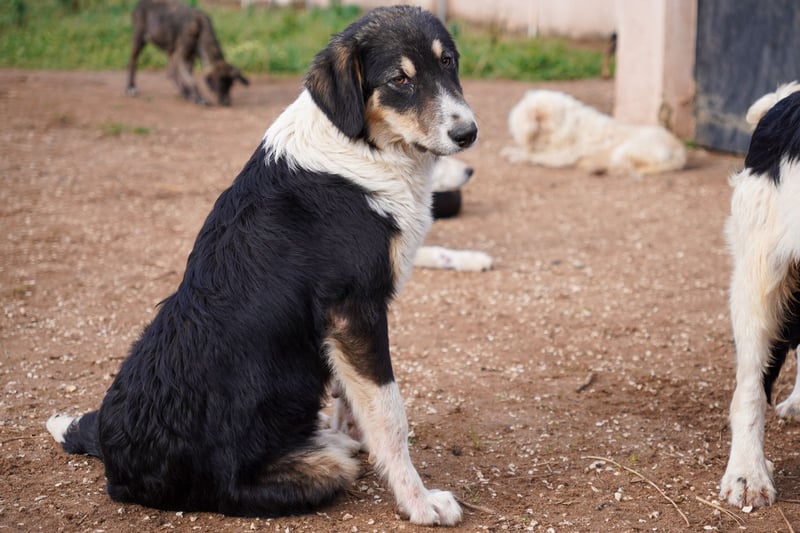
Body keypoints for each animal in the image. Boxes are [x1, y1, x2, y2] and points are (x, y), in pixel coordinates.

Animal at [47, 6, 476, 525]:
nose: (468, 134)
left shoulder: (342, 327)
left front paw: (358, 438)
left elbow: (351, 399)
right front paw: (419, 501)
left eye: (448, 62)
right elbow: (390, 414)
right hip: (314, 471)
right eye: (400, 79)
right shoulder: (355, 312)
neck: (363, 146)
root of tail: (119, 465)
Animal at [502, 89, 687, 176]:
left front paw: (514, 154)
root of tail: (681, 151)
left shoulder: (557, 157)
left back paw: (595, 166)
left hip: (624, 151)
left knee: (624, 168)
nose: (513, 136)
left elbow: (531, 156)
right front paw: (512, 151)